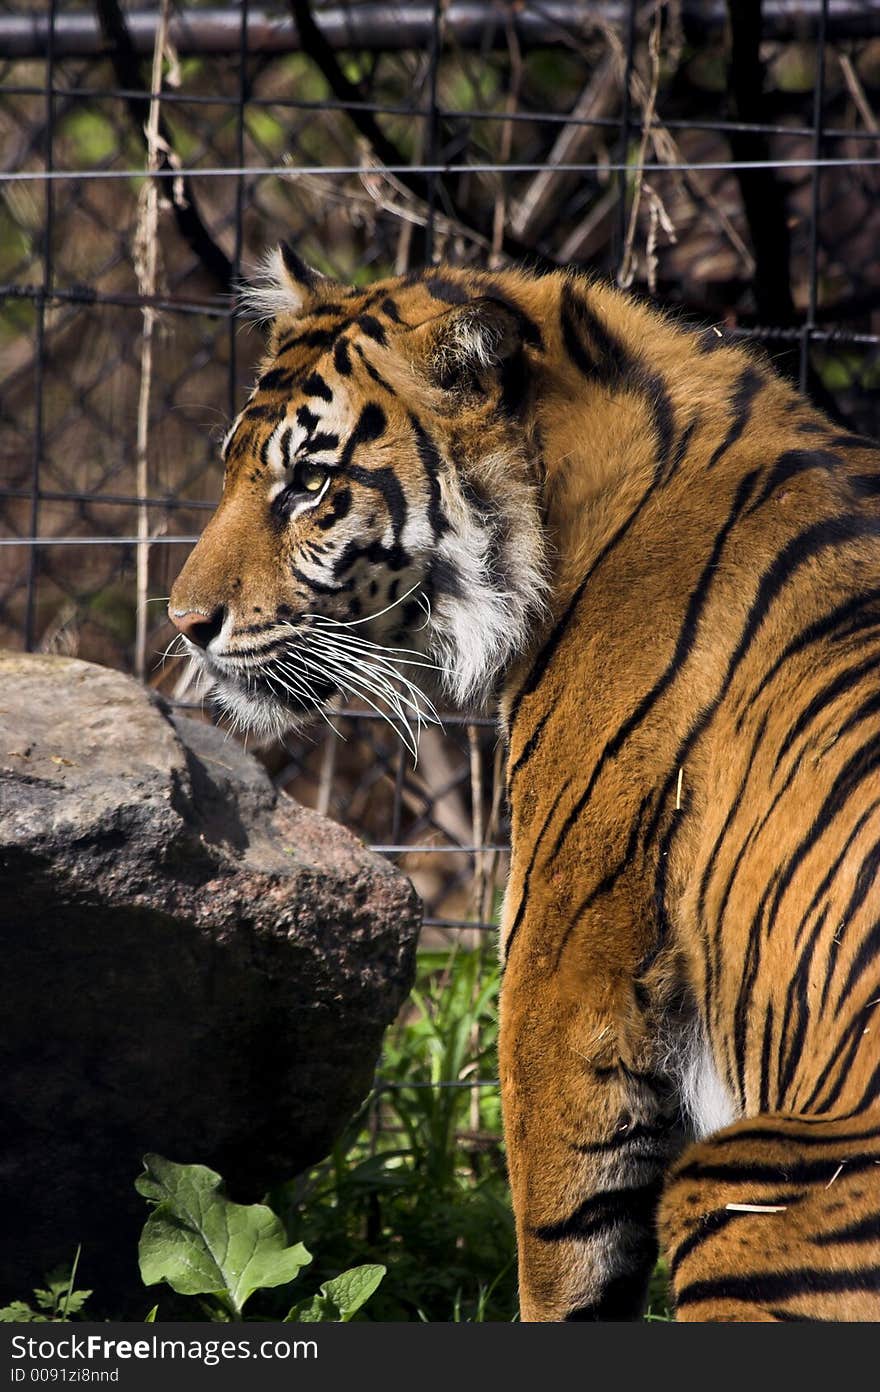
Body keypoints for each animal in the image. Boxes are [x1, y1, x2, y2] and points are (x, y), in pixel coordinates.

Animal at [168, 250, 880, 1325]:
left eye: (309, 484)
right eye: (233, 470)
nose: (184, 624)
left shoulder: (567, 944)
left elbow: (562, 1235)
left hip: (746, 1188)